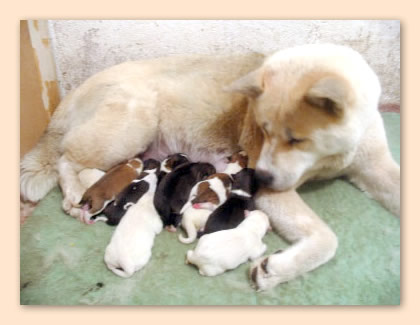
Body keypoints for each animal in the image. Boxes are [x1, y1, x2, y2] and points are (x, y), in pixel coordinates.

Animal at [20, 44, 400, 290]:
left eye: (296, 139)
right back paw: (74, 197)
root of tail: (71, 95)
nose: (259, 177)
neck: (332, 156)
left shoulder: (376, 166)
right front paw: (275, 270)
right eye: (263, 130)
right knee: (65, 159)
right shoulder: (277, 191)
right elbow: (326, 239)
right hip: (130, 125)